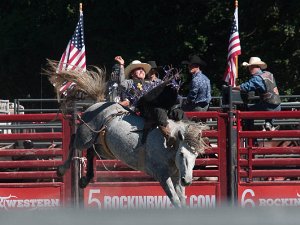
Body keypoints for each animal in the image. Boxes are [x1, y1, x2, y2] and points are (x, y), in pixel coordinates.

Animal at [56, 102, 207, 207]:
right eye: (181, 153)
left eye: (196, 156)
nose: (187, 181)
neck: (170, 142)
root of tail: (93, 106)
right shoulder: (162, 175)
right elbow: (175, 200)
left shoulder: (177, 176)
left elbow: (182, 200)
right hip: (85, 137)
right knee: (74, 141)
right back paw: (62, 169)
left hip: (105, 148)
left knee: (91, 151)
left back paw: (85, 179)